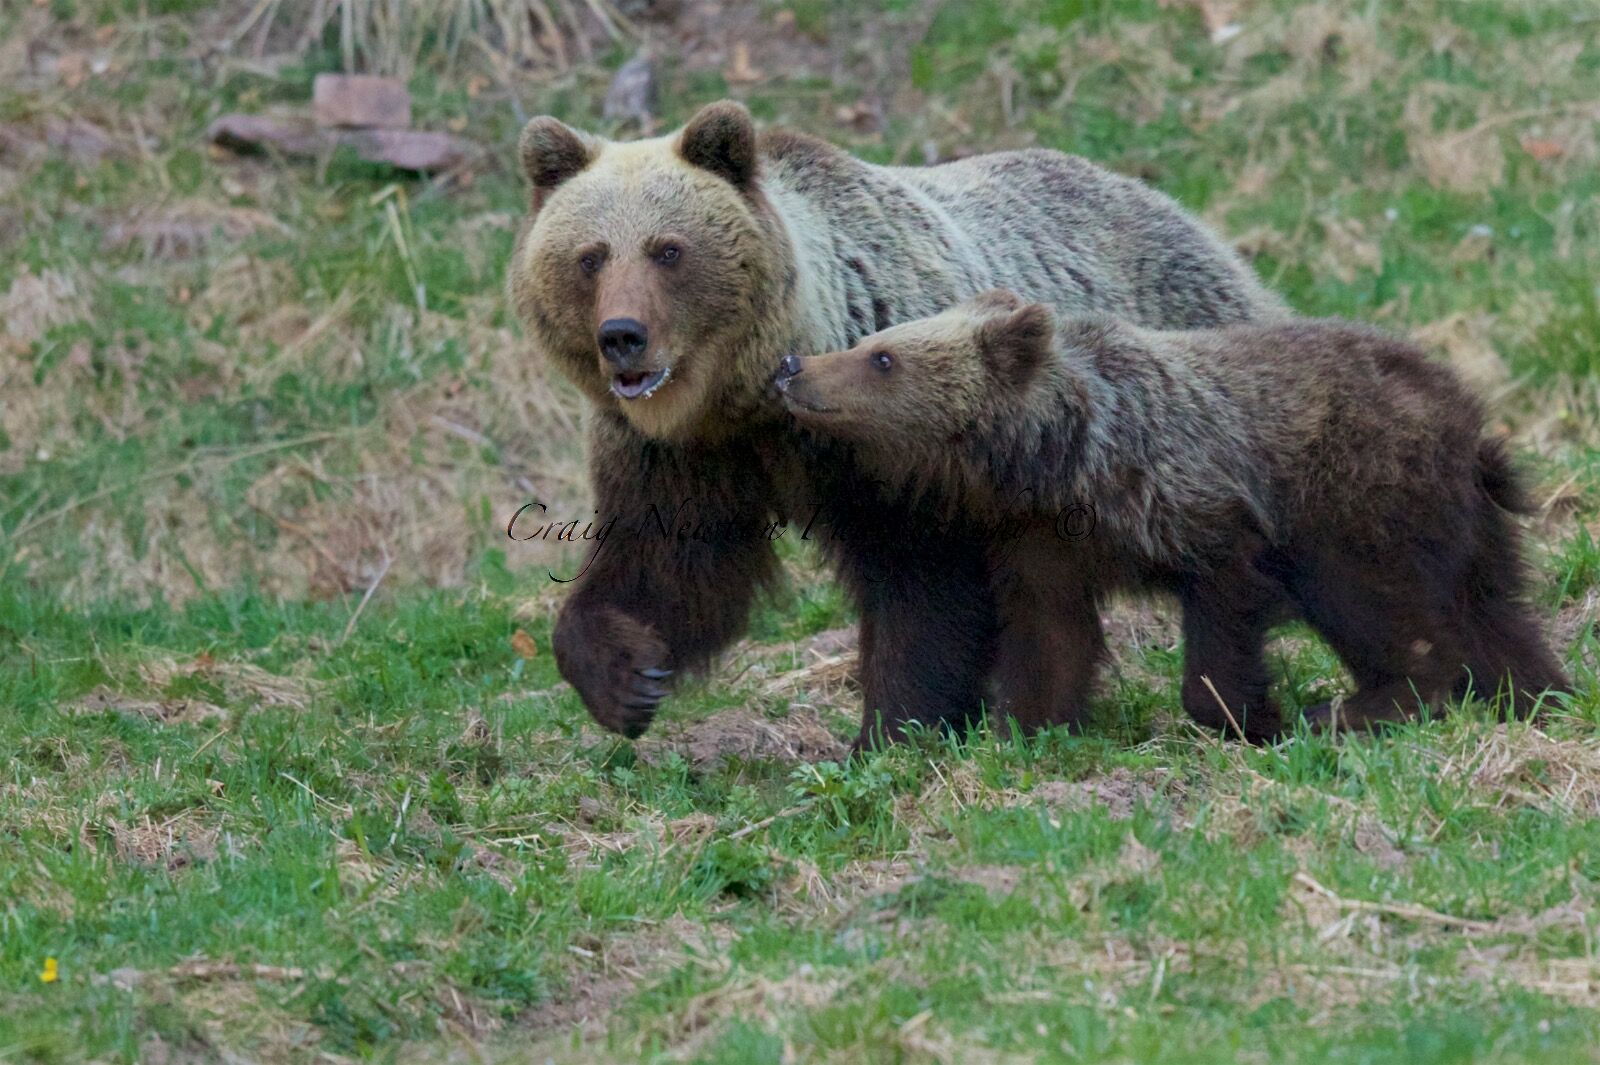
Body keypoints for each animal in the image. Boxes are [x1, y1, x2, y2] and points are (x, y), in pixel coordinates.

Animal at [506, 100, 1288, 747]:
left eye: (668, 249)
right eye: (590, 256)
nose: (622, 336)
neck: (748, 399)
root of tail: (1177, 210)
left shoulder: (899, 439)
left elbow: (922, 589)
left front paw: (892, 732)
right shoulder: (681, 455)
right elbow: (669, 564)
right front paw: (626, 678)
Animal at [774, 291, 1569, 737]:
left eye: (883, 357)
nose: (793, 367)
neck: (1062, 464)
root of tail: (1465, 417)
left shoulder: (1199, 504)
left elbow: (1224, 616)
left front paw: (1250, 716)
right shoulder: (1042, 543)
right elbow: (1049, 636)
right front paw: (1027, 727)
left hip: (1360, 497)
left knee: (1381, 605)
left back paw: (1366, 705)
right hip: (1461, 524)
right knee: (1492, 611)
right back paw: (1535, 693)